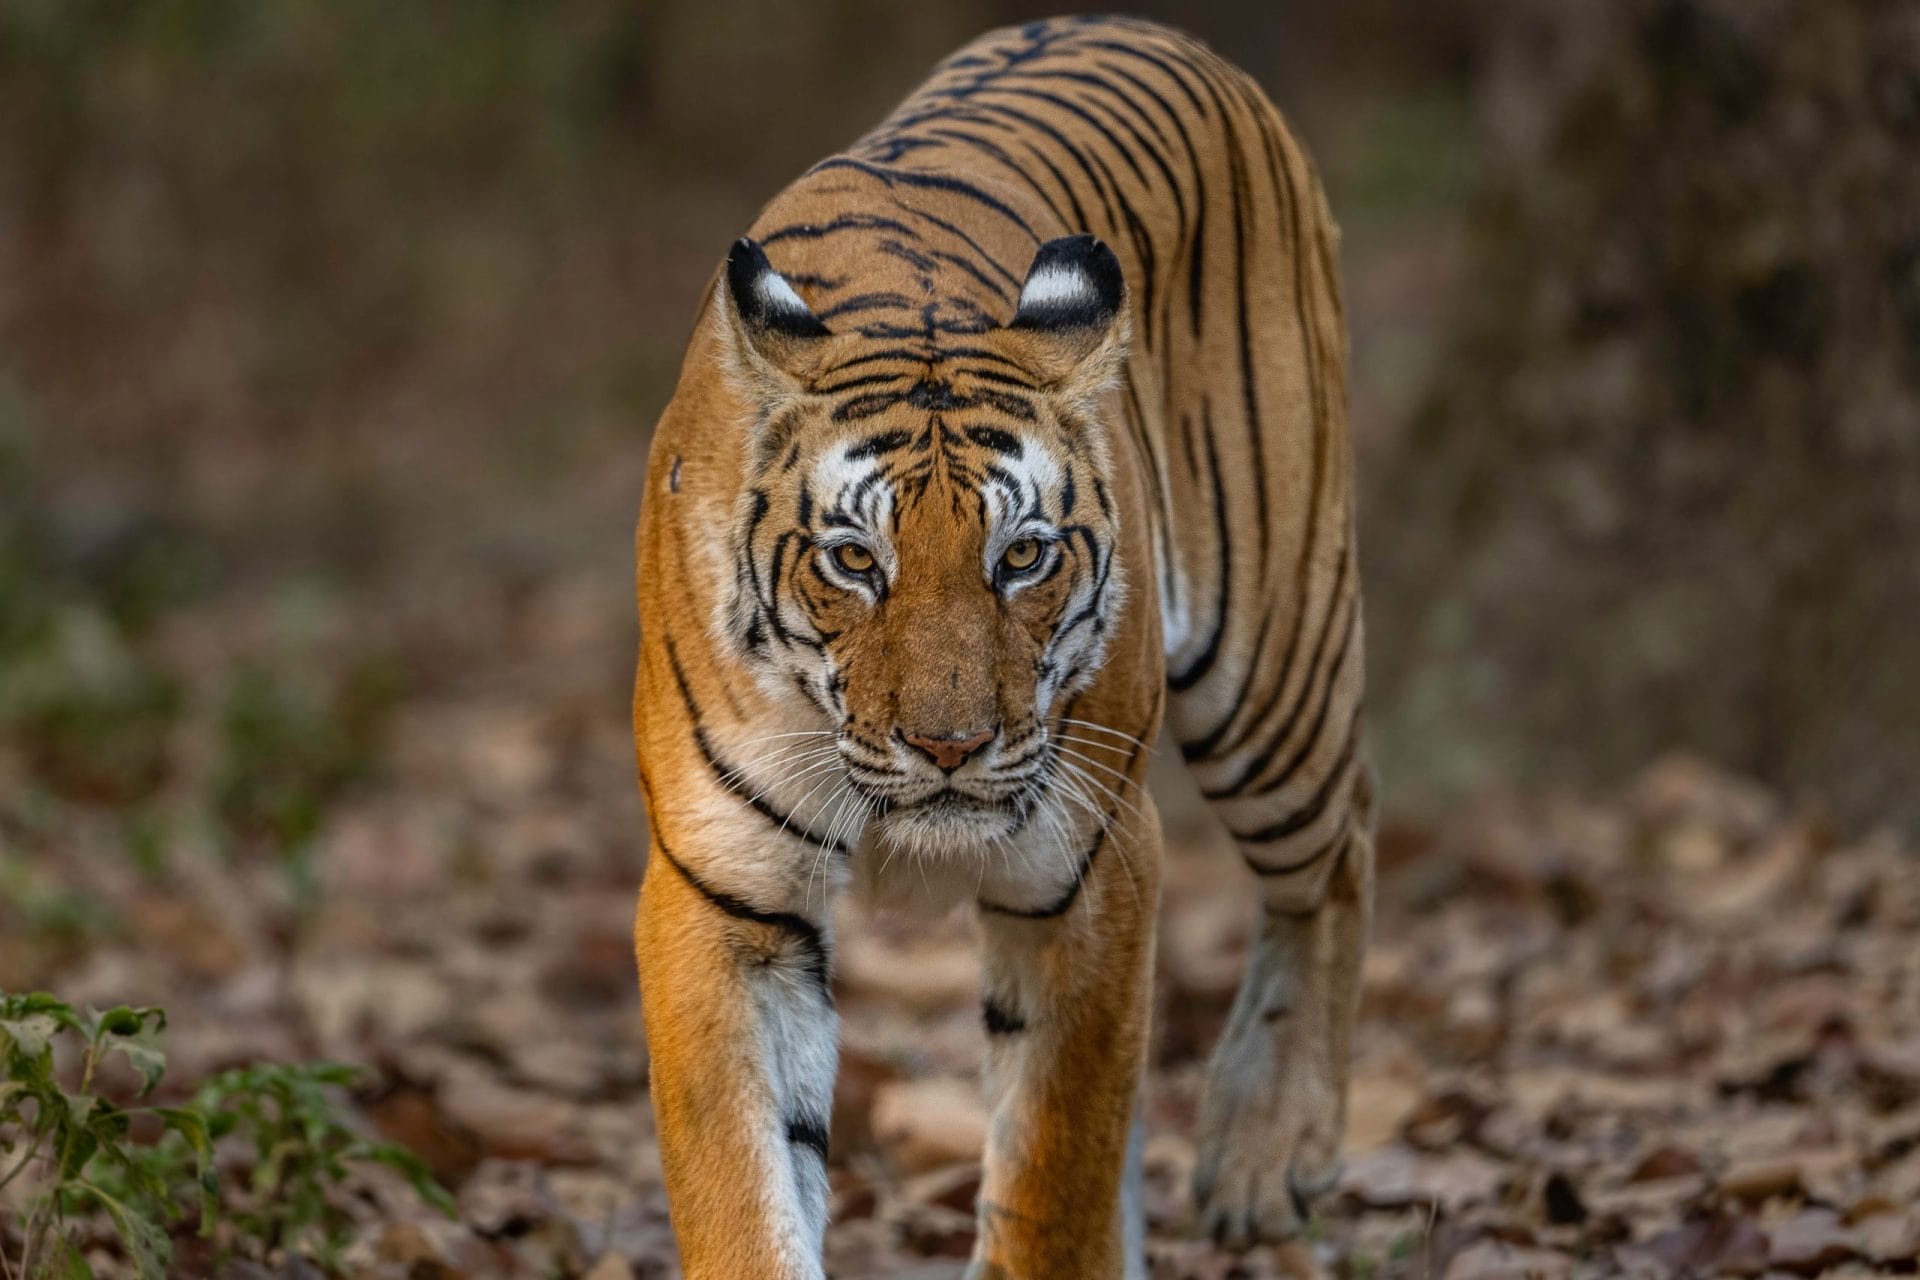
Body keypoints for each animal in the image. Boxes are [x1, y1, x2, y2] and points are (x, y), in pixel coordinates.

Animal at [631, 15, 1370, 1278]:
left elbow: (1052, 1170)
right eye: (853, 560)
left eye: (1023, 554)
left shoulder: (1088, 865)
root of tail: (1140, 26)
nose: (950, 746)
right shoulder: (723, 886)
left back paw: (1265, 1153)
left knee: (1341, 850)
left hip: (1274, 668)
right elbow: (745, 1178)